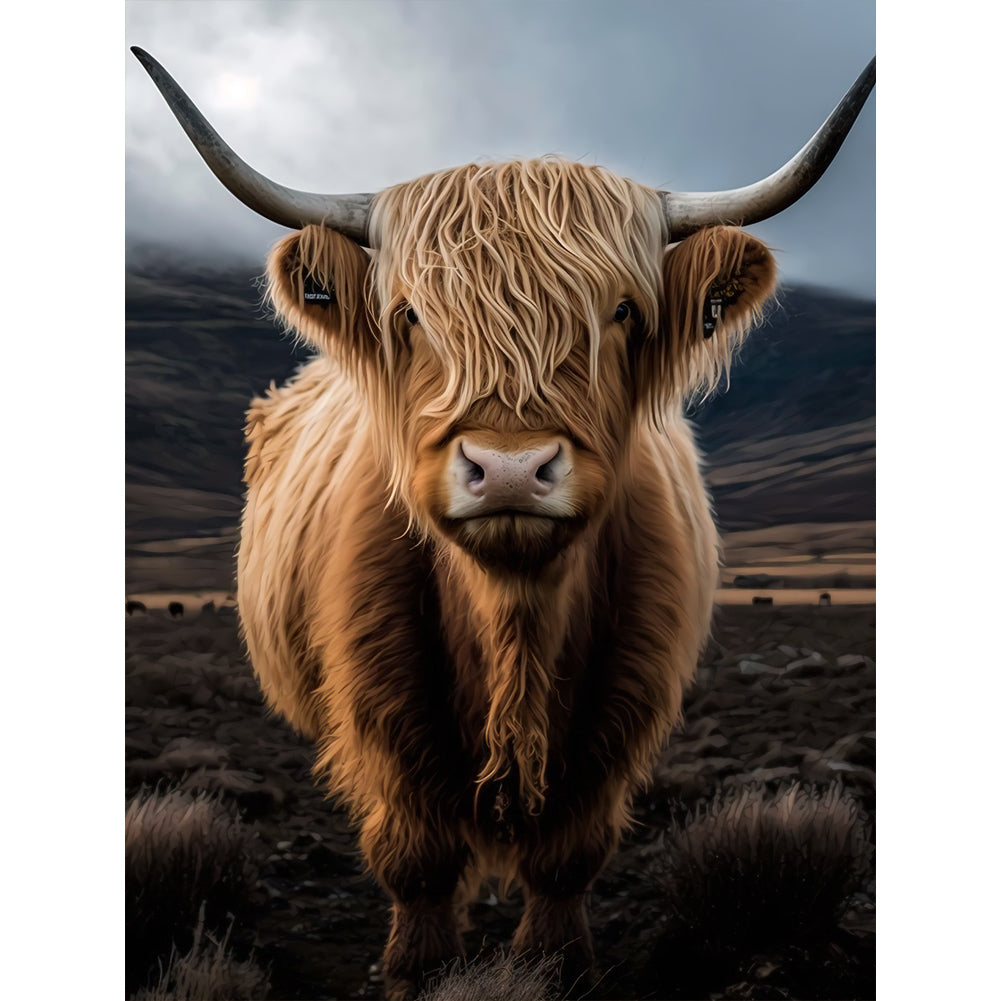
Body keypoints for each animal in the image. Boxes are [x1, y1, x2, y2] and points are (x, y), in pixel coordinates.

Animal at [132, 48, 874, 1000]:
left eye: (622, 311)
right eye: (411, 315)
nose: (511, 468)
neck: (511, 620)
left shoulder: (620, 713)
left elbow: (567, 859)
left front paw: (554, 963)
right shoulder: (380, 712)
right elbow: (415, 860)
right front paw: (418, 969)